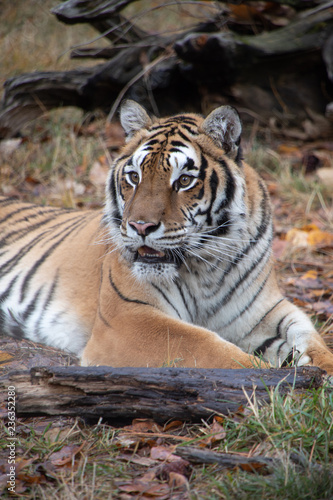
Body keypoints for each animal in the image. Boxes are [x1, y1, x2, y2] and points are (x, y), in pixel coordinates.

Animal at [0, 101, 332, 374]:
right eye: (134, 177)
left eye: (183, 181)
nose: (140, 227)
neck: (205, 266)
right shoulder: (128, 318)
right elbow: (210, 348)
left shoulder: (264, 310)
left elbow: (308, 336)